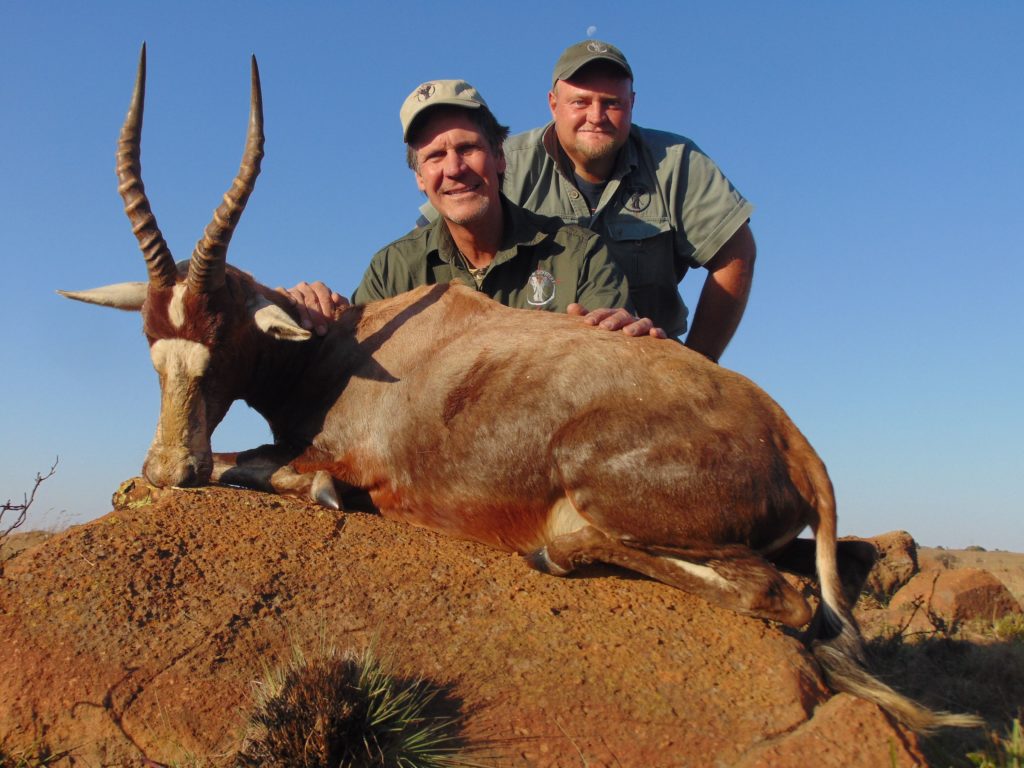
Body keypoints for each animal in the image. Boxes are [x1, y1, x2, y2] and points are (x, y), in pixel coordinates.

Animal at [59, 48, 978, 733]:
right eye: (152, 345)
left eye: (220, 342)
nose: (167, 466)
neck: (349, 343)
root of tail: (792, 438)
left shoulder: (345, 461)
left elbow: (272, 469)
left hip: (600, 493)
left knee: (765, 592)